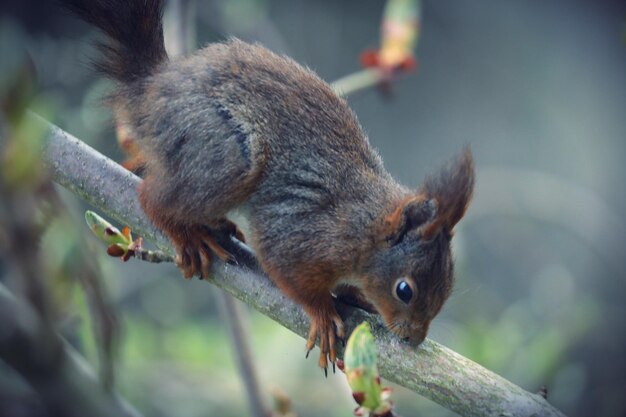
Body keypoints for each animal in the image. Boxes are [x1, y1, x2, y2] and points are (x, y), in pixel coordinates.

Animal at [63, 0, 472, 370]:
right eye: (404, 290)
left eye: (449, 284)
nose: (414, 338)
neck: (364, 227)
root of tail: (152, 87)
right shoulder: (303, 234)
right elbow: (286, 270)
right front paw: (323, 313)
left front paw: (355, 295)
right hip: (226, 156)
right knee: (151, 197)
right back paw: (187, 234)